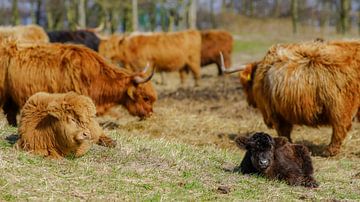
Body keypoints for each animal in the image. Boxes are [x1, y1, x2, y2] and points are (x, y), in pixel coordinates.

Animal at [219, 39, 360, 156]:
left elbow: (284, 131)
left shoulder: (276, 112)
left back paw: (329, 151)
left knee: (340, 127)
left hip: (339, 106)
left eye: (245, 86)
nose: (249, 102)